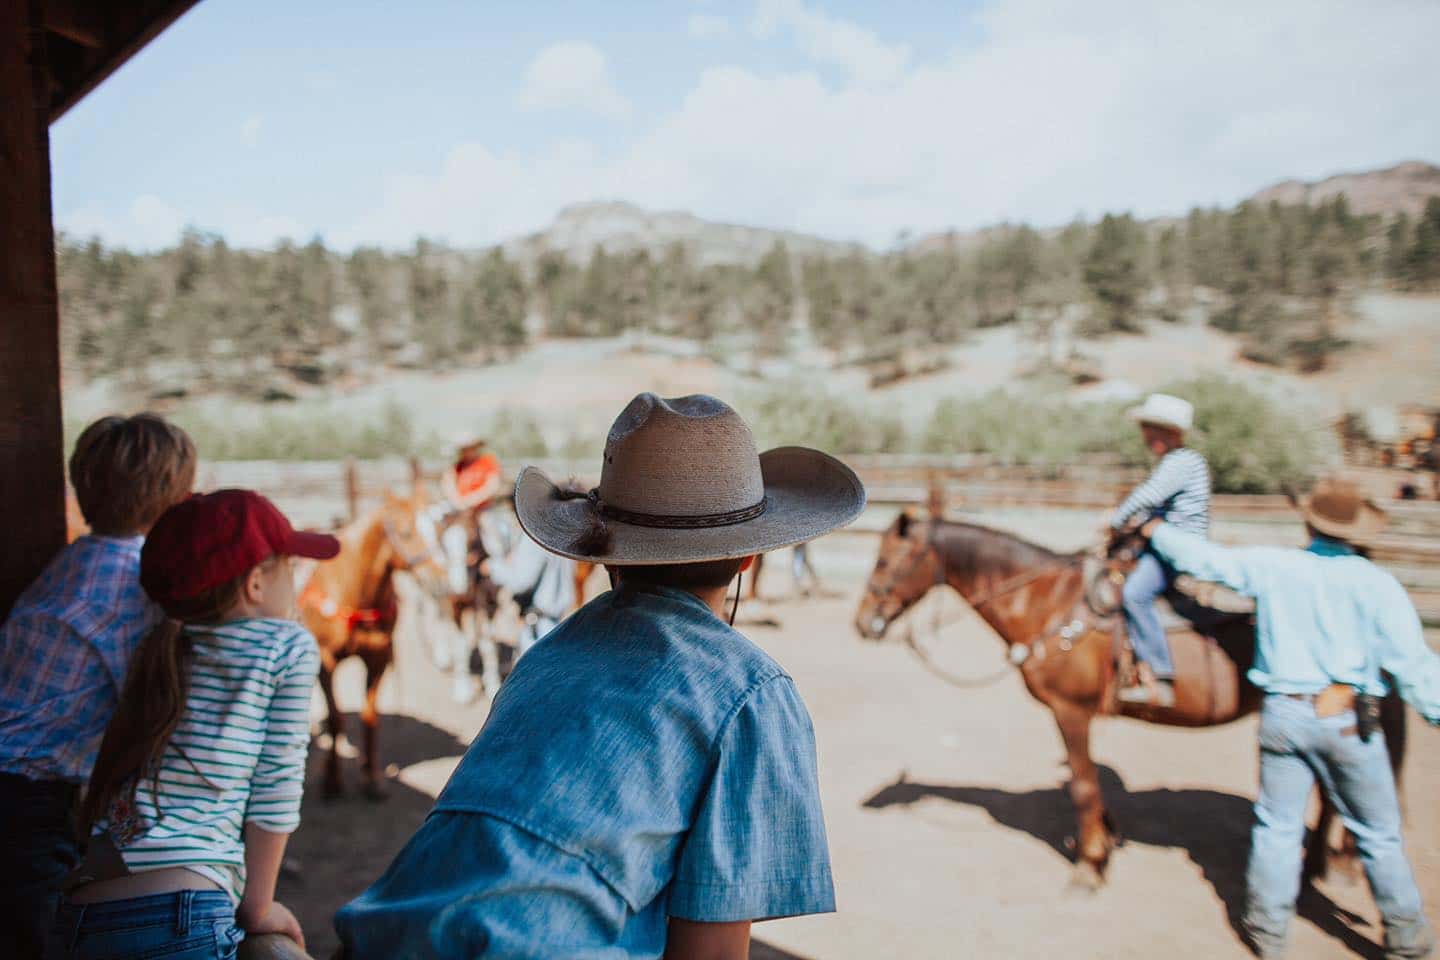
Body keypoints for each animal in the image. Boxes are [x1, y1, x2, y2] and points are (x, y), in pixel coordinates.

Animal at [299, 492, 443, 800]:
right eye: (405, 533)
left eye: (436, 529)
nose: (439, 580)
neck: (355, 591)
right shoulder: (326, 661)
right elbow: (336, 719)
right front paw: (332, 781)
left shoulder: (378, 658)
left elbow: (370, 718)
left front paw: (372, 778)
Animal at [852, 515, 1405, 892]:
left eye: (885, 561)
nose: (862, 623)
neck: (1049, 603)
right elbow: (1092, 784)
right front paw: (1106, 837)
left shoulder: (1070, 711)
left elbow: (1082, 785)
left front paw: (1090, 864)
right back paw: (1318, 867)